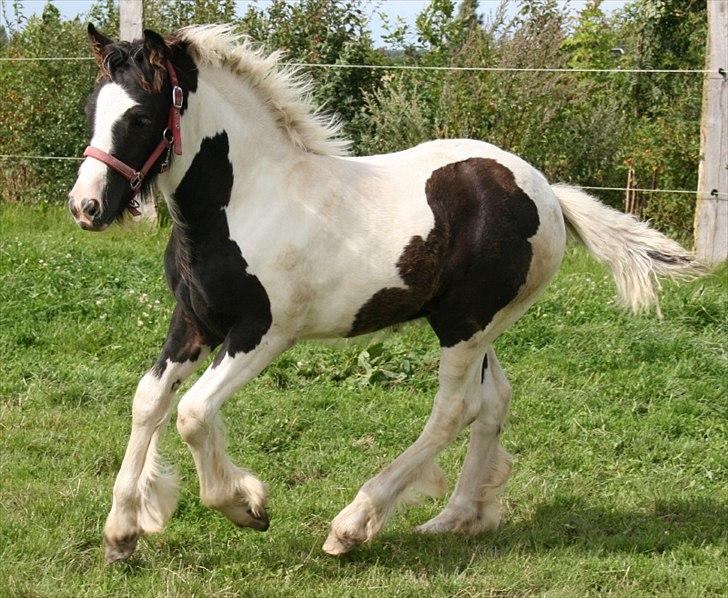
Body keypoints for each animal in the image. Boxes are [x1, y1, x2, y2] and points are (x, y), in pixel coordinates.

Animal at [69, 23, 704, 564]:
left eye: (140, 117)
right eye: (92, 111)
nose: (87, 206)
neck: (245, 199)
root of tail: (548, 193)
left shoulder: (265, 333)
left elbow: (194, 413)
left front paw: (247, 506)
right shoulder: (194, 321)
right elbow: (149, 401)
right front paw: (123, 533)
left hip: (466, 326)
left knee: (455, 410)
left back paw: (352, 526)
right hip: (476, 325)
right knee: (493, 401)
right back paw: (456, 518)